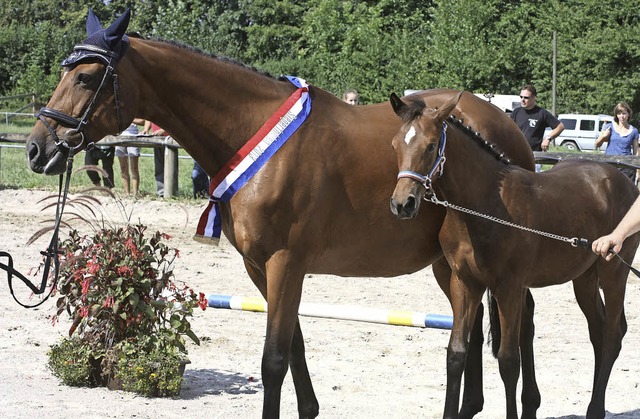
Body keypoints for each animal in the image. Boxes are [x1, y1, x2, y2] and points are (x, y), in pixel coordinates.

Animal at [25, 9, 536, 419]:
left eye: (86, 78)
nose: (38, 148)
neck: (259, 136)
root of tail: (504, 124)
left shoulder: (286, 262)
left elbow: (273, 360)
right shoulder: (260, 267)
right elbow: (293, 345)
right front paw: (308, 408)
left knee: (520, 320)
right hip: (449, 263)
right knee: (474, 327)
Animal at [388, 92, 636, 419]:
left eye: (430, 145)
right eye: (395, 144)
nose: (402, 203)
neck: (483, 207)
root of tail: (623, 180)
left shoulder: (508, 287)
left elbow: (508, 360)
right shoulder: (464, 283)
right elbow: (456, 353)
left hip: (614, 272)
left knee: (611, 336)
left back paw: (595, 410)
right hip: (584, 276)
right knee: (599, 330)